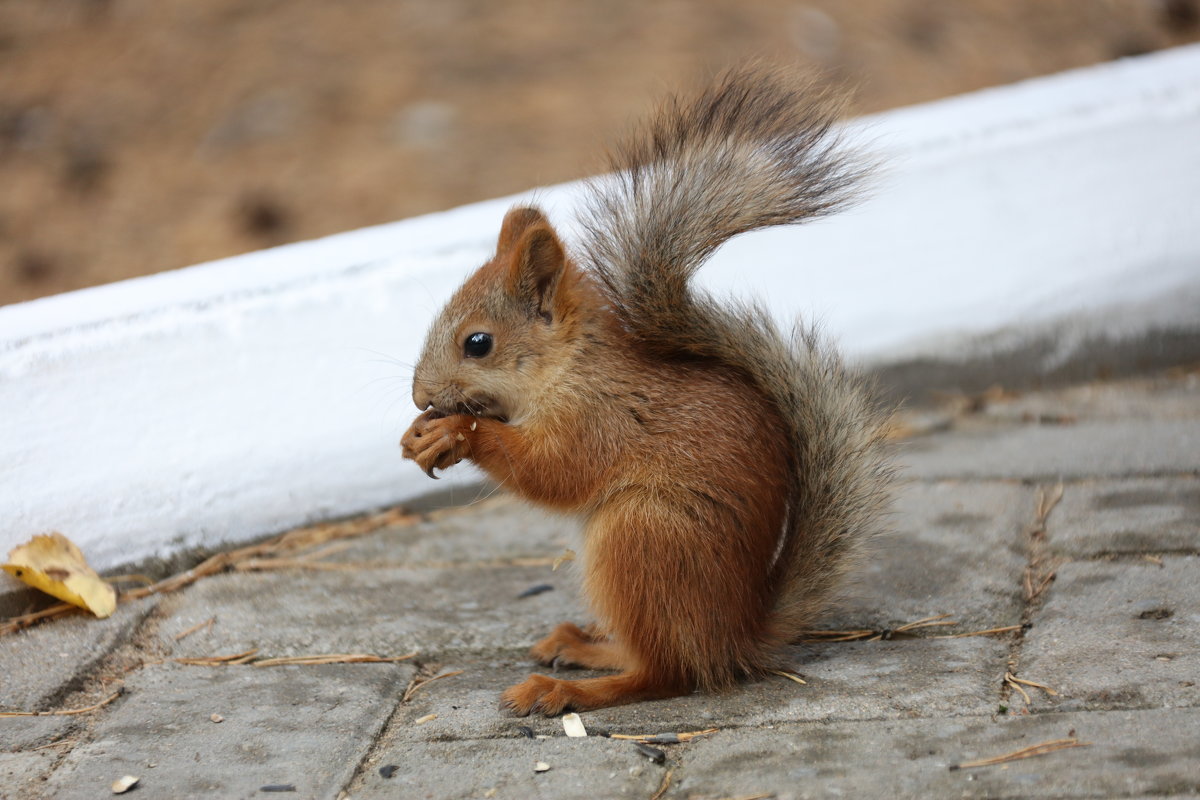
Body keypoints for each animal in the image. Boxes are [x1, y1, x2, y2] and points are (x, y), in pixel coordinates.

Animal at [400, 68, 892, 714]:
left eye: (477, 343)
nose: (418, 397)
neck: (572, 367)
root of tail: (737, 635)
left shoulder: (600, 418)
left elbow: (555, 472)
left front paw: (457, 432)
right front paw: (417, 435)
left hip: (641, 536)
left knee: (665, 673)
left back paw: (568, 689)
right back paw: (582, 646)